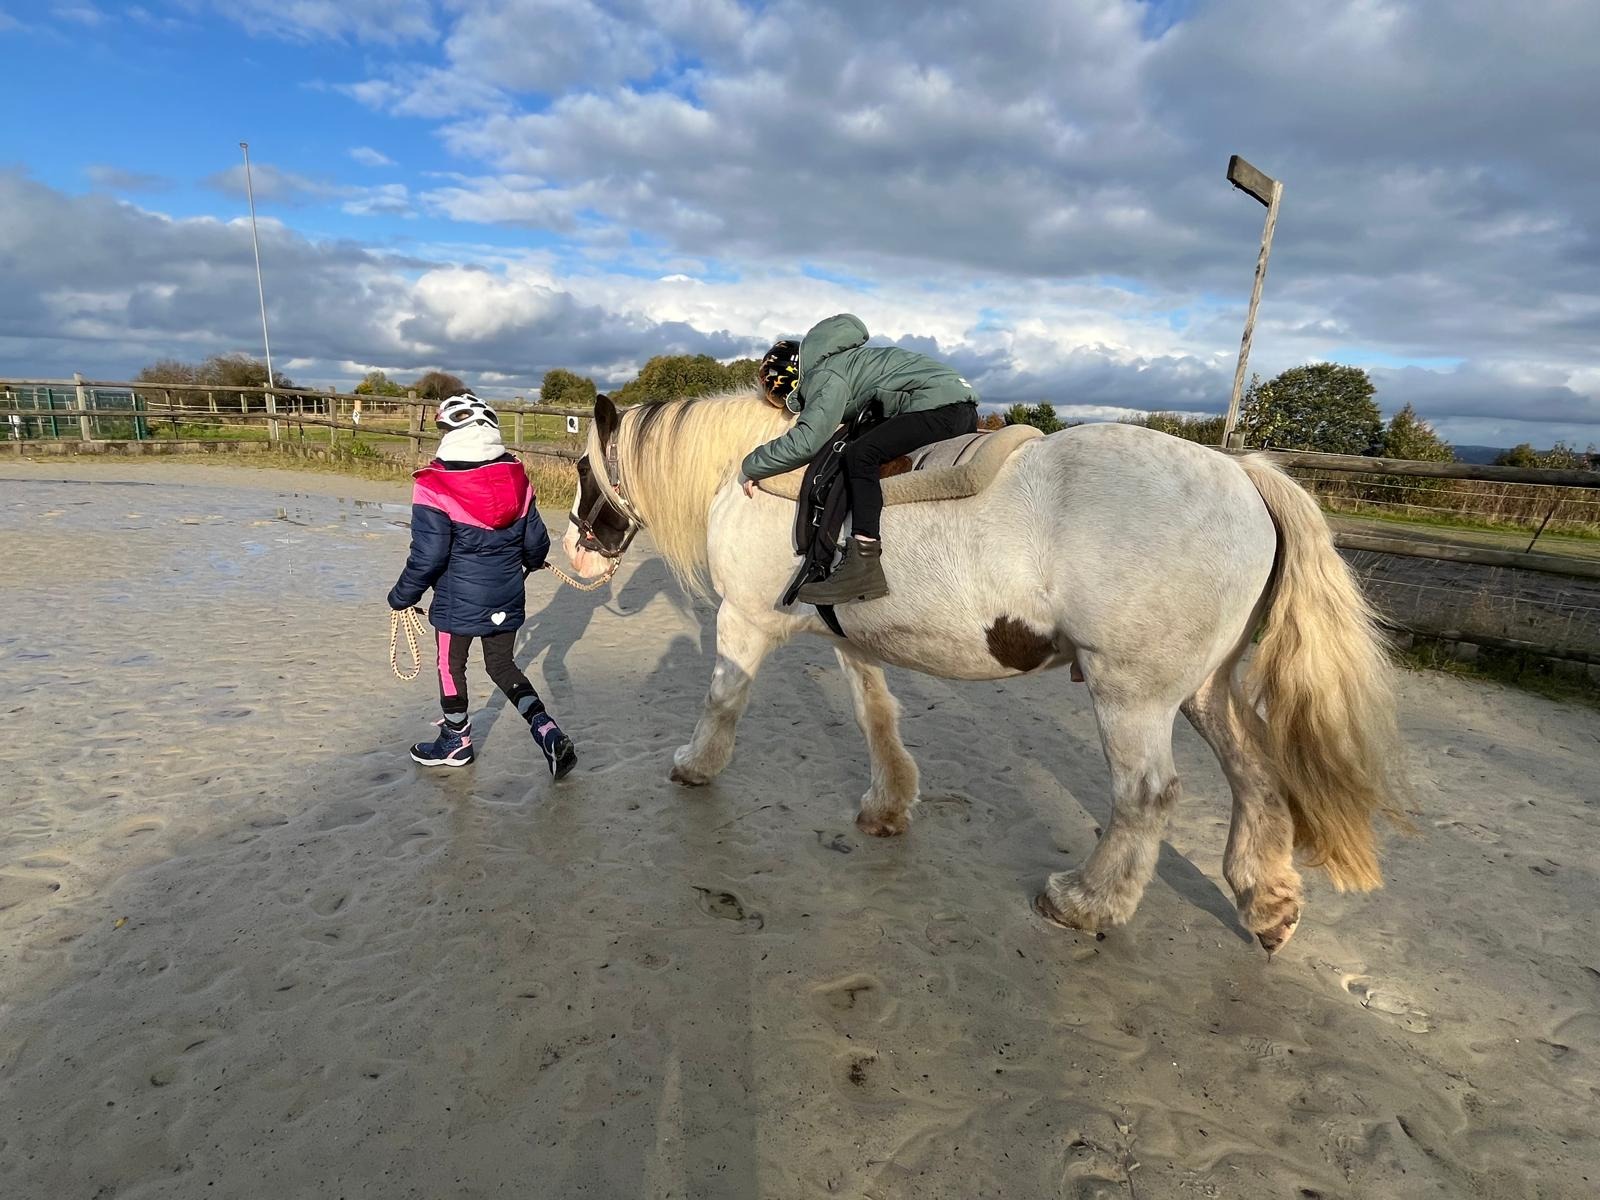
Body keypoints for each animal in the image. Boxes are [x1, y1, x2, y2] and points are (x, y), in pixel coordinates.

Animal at [562, 391, 1404, 954]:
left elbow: (722, 698)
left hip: (1130, 692)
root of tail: (1243, 477)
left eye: (583, 468)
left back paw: (1087, 903)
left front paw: (695, 765)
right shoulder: (851, 635)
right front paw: (889, 803)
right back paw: (1267, 902)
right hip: (1203, 690)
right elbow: (874, 712)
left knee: (1146, 797)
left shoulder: (742, 621)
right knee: (1255, 774)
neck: (773, 476)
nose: (573, 556)